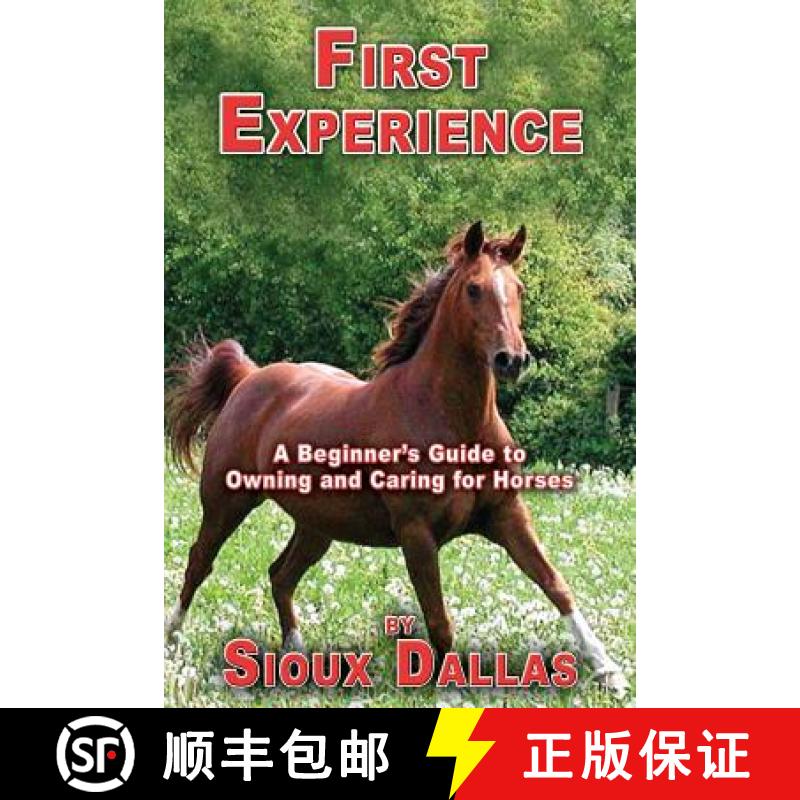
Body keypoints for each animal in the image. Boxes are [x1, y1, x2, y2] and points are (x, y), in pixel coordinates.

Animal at [165, 221, 627, 694]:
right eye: (474, 288)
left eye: (518, 288)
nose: (511, 360)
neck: (453, 422)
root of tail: (250, 378)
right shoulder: (416, 532)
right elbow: (439, 618)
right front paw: (451, 685)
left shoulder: (507, 515)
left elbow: (556, 585)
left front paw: (608, 670)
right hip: (226, 503)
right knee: (199, 562)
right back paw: (173, 641)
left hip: (317, 525)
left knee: (281, 575)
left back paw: (296, 658)